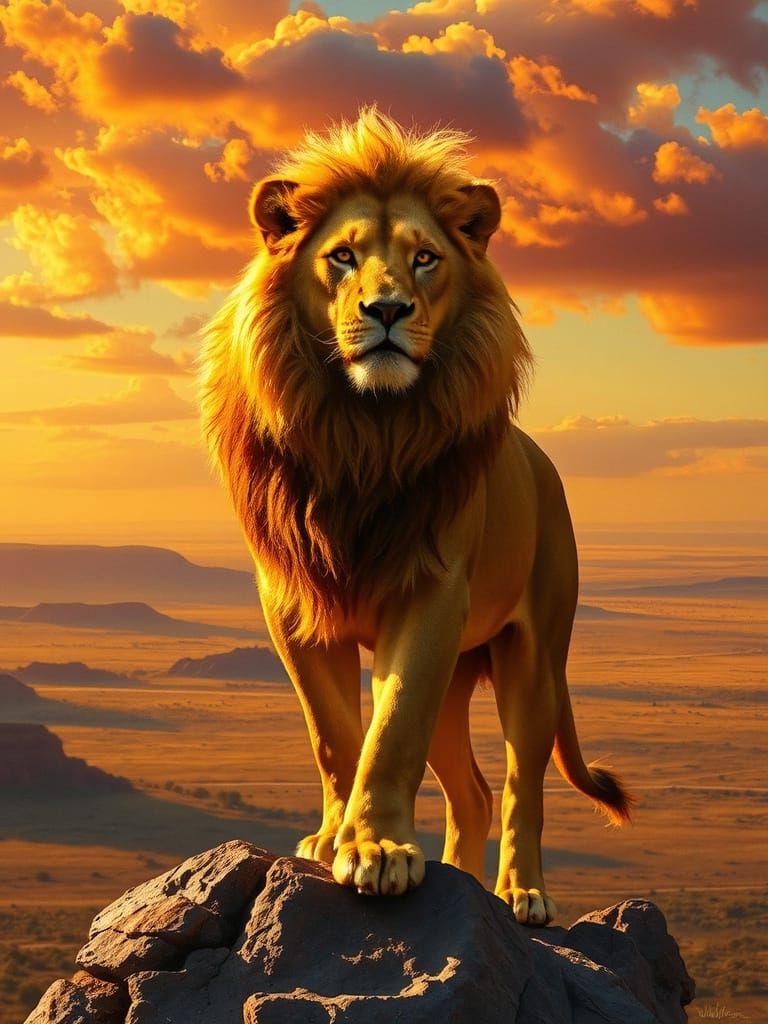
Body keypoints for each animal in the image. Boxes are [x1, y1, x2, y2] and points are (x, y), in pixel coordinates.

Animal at [200, 108, 632, 925]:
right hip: (459, 674)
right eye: (341, 257)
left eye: (425, 259)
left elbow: (391, 728)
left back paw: (520, 893)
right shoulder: (293, 602)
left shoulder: (432, 591)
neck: (363, 432)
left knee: (521, 786)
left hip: (534, 655)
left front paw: (378, 850)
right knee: (474, 791)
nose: (388, 311)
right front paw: (333, 838)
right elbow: (338, 734)